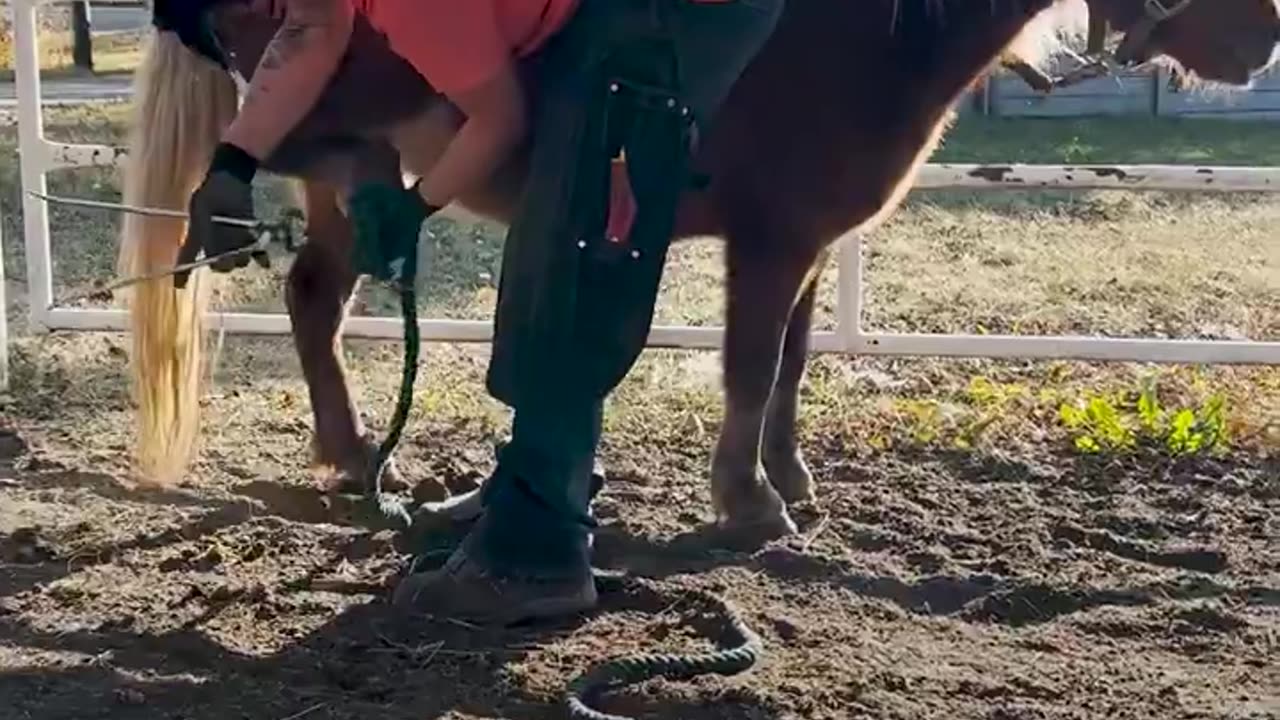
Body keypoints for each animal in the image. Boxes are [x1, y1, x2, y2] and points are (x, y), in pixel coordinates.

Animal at [117, 1, 1269, 538]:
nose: (1262, 38)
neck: (855, 37)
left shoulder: (805, 247)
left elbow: (791, 367)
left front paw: (790, 482)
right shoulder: (770, 244)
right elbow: (749, 368)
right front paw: (749, 505)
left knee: (314, 298)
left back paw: (357, 459)